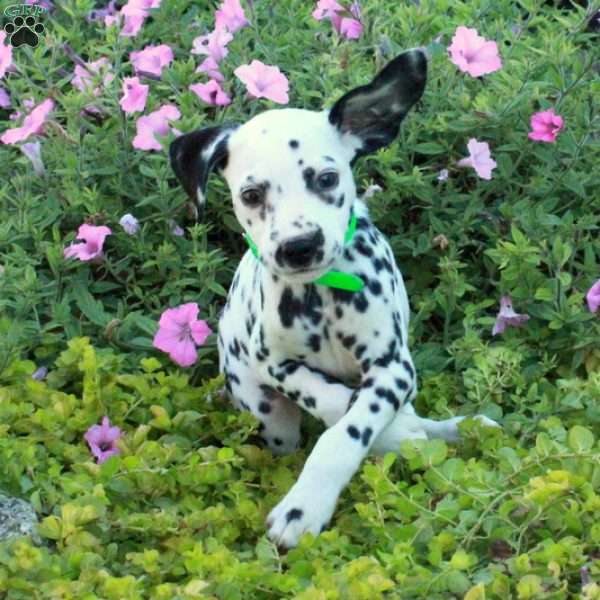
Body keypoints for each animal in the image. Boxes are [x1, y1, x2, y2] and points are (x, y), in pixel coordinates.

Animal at [169, 50, 496, 548]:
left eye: (325, 178)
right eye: (251, 194)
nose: (299, 246)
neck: (320, 294)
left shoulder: (393, 368)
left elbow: (345, 435)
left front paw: (304, 508)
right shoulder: (272, 362)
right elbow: (325, 398)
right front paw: (365, 419)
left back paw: (457, 429)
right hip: (266, 414)